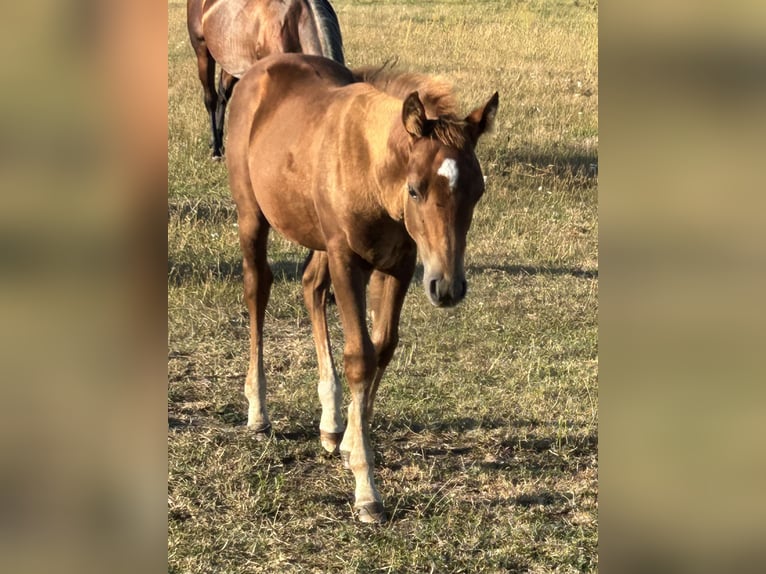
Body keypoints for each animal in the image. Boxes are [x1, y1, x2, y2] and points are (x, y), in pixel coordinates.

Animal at [226, 53, 498, 523]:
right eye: (415, 189)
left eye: (478, 191)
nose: (448, 287)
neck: (371, 171)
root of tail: (257, 71)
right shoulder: (348, 260)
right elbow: (360, 357)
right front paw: (366, 489)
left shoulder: (401, 265)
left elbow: (383, 346)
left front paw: (352, 438)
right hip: (253, 217)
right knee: (258, 289)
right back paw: (258, 412)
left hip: (318, 237)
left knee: (311, 288)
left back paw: (330, 423)